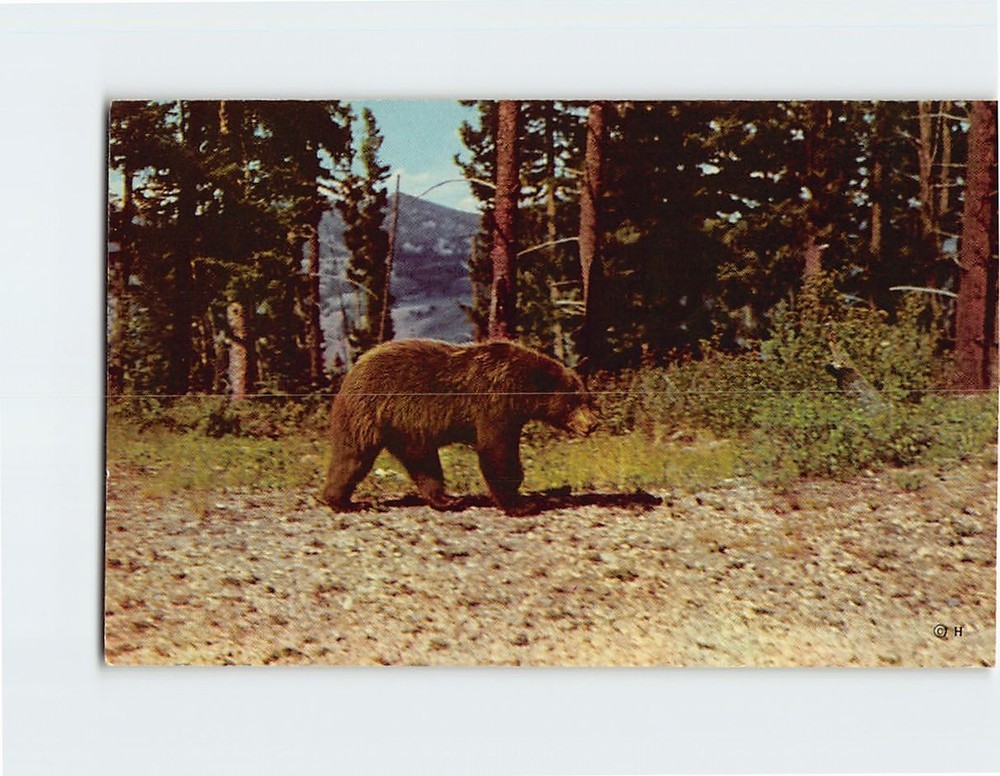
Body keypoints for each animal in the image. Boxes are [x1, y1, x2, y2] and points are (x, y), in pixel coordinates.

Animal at [321, 338, 597, 514]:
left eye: (587, 398)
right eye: (573, 402)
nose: (592, 424)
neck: (523, 389)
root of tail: (354, 368)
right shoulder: (495, 404)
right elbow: (496, 451)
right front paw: (520, 504)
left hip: (407, 429)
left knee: (424, 464)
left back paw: (447, 500)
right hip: (369, 413)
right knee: (352, 458)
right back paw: (342, 501)